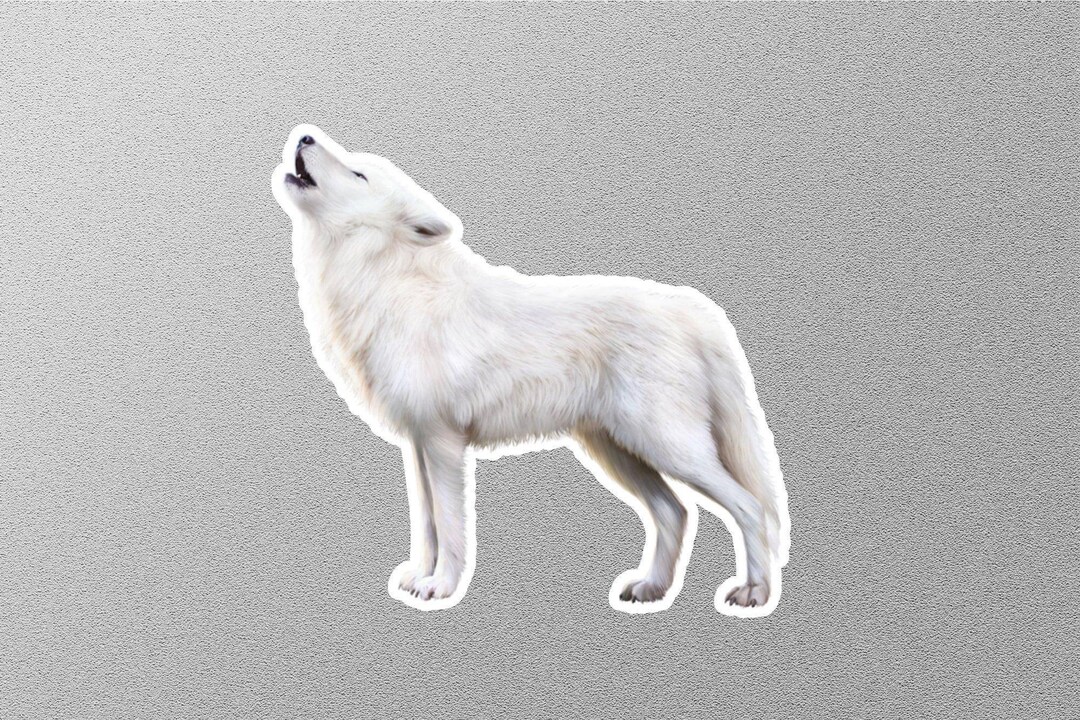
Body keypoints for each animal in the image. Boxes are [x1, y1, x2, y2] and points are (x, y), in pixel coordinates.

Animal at [271, 125, 790, 615]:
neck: (389, 282)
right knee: (675, 512)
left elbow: (451, 527)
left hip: (666, 446)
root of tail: (695, 313)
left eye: (358, 174)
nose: (304, 135)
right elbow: (427, 525)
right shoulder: (417, 445)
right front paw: (419, 577)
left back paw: (754, 592)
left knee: (749, 506)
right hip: (620, 451)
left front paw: (441, 587)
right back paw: (650, 588)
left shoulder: (442, 442)